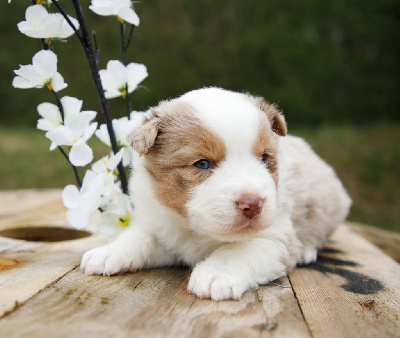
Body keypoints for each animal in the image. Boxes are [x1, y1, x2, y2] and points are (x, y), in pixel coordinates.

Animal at [80, 87, 350, 302]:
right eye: (202, 163)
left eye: (264, 158)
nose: (252, 204)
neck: (196, 230)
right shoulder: (161, 224)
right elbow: (138, 236)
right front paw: (108, 253)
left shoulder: (276, 236)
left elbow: (240, 249)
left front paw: (216, 273)